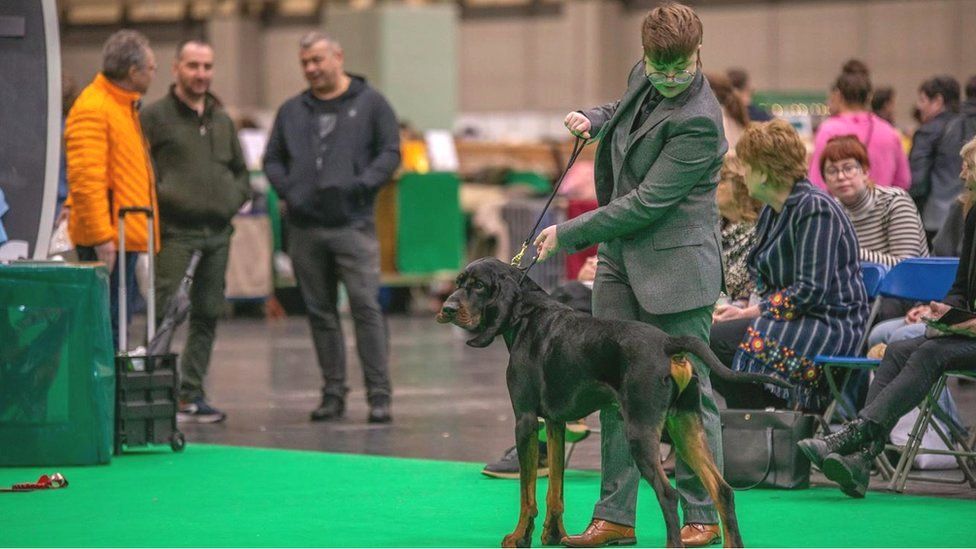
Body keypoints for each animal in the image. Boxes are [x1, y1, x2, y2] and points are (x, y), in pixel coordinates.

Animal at [438, 260, 788, 544]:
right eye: (458, 282)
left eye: (479, 285)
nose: (447, 309)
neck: (526, 316)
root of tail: (668, 343)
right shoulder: (555, 422)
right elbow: (555, 489)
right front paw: (554, 535)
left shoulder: (525, 419)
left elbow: (528, 494)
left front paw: (519, 537)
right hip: (686, 426)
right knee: (722, 491)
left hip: (642, 431)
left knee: (669, 493)